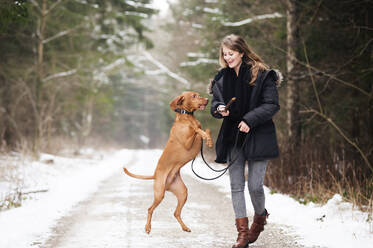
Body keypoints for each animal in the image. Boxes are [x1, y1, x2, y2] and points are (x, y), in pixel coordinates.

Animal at [123, 90, 212, 232]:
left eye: (198, 94)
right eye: (194, 96)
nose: (207, 99)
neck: (187, 117)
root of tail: (155, 175)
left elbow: (202, 129)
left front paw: (208, 138)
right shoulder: (187, 143)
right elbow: (196, 130)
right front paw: (203, 134)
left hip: (182, 192)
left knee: (176, 213)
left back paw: (185, 227)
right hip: (160, 193)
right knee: (150, 209)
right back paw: (147, 227)